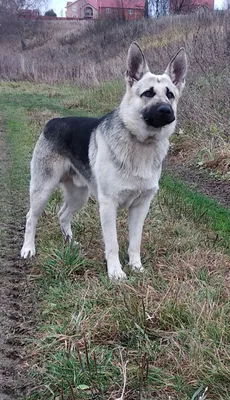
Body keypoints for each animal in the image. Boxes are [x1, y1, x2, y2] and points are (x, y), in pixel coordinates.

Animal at [20, 40, 188, 278]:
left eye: (170, 95)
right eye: (148, 93)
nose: (165, 110)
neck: (141, 143)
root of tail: (52, 121)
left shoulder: (141, 207)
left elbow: (135, 241)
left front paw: (136, 267)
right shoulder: (108, 205)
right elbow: (113, 243)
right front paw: (116, 273)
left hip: (79, 195)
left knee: (62, 214)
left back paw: (70, 243)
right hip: (42, 190)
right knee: (30, 217)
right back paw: (28, 248)